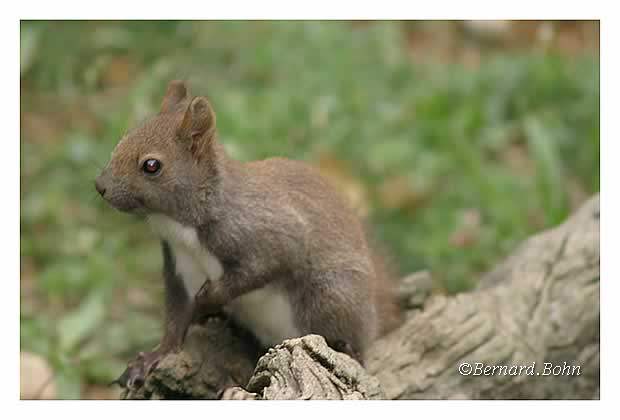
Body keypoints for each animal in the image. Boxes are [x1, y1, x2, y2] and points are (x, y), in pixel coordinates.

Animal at [94, 81, 400, 390]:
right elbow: (175, 319)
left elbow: (264, 266)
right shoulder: (181, 266)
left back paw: (348, 347)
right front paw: (152, 357)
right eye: (123, 139)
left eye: (152, 165)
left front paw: (209, 299)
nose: (100, 186)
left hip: (331, 294)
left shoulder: (267, 231)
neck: (181, 229)